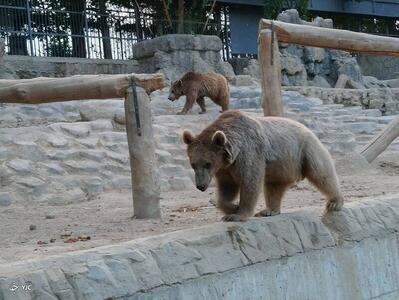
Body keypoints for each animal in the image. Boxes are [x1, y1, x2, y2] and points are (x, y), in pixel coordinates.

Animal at [184, 110, 344, 220]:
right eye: (193, 164)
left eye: (207, 164)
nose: (200, 186)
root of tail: (308, 129)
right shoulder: (225, 169)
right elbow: (227, 188)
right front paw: (232, 208)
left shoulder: (248, 154)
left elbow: (250, 182)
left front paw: (238, 214)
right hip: (280, 166)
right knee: (274, 186)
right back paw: (269, 210)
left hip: (305, 151)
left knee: (322, 174)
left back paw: (335, 202)